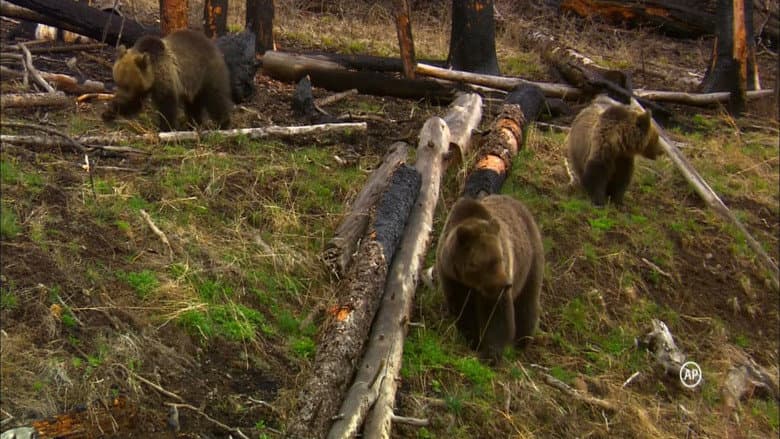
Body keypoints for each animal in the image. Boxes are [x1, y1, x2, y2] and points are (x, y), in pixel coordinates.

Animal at [102, 29, 233, 132]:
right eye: (117, 82)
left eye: (127, 85)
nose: (120, 97)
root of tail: (210, 43)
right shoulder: (143, 86)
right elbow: (134, 102)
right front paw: (108, 112)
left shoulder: (165, 75)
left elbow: (167, 104)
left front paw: (166, 127)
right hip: (193, 82)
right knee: (193, 104)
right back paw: (193, 124)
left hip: (207, 72)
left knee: (215, 98)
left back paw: (223, 124)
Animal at [435, 194, 544, 363]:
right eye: (480, 263)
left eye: (500, 258)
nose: (506, 284)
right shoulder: (452, 279)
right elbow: (463, 310)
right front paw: (473, 340)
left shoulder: (494, 287)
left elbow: (497, 316)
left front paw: (491, 353)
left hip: (530, 262)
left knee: (527, 304)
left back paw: (521, 343)